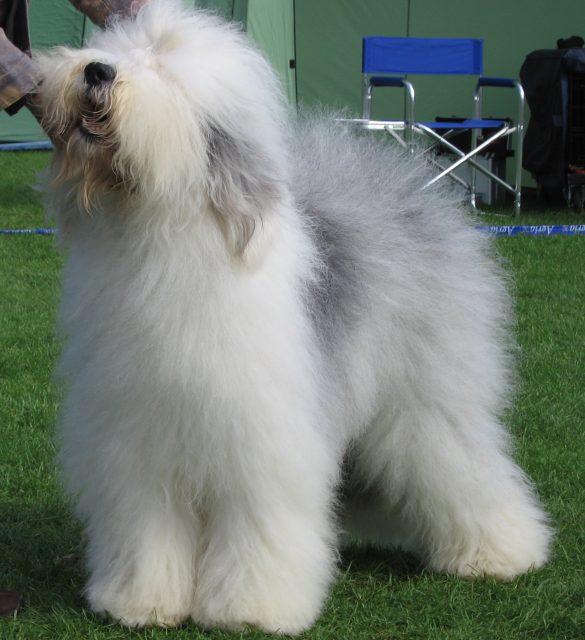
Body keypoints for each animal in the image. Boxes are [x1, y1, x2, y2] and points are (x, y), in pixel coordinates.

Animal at [38, 0, 548, 632]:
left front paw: (251, 608)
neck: (156, 237)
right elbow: (147, 525)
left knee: (466, 466)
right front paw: (142, 602)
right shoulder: (137, 440)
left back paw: (500, 555)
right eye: (120, 50)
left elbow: (259, 526)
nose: (96, 72)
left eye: (164, 69)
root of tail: (404, 189)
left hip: (425, 399)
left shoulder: (262, 439)